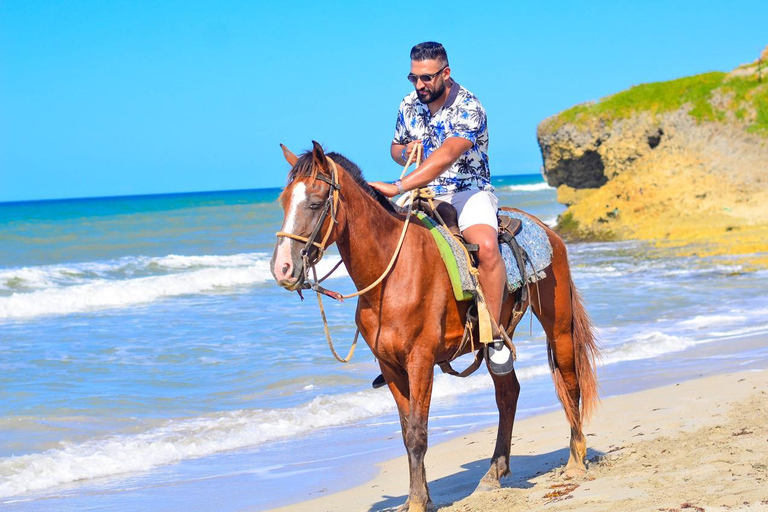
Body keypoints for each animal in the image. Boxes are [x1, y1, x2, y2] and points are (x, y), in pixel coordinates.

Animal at [270, 141, 600, 512]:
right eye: (284, 201)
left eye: (314, 203)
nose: (282, 268)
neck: (391, 273)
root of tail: (549, 231)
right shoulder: (392, 366)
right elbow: (406, 432)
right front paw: (420, 497)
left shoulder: (420, 360)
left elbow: (417, 434)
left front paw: (416, 502)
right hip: (499, 337)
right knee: (508, 394)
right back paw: (493, 473)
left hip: (558, 325)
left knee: (570, 383)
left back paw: (575, 461)